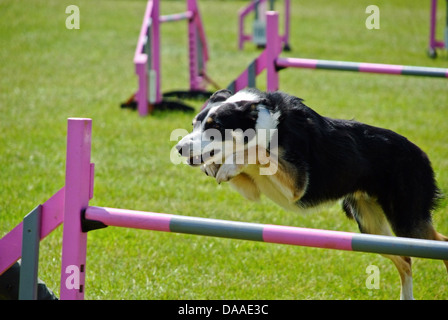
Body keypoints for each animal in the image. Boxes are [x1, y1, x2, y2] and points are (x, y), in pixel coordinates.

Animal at [176, 88, 448, 300]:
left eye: (215, 127)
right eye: (194, 124)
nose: (178, 148)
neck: (261, 123)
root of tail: (421, 153)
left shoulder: (297, 182)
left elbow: (256, 151)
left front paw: (228, 164)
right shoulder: (253, 188)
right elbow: (242, 162)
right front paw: (215, 166)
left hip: (407, 221)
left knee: (439, 243)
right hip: (372, 229)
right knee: (405, 259)